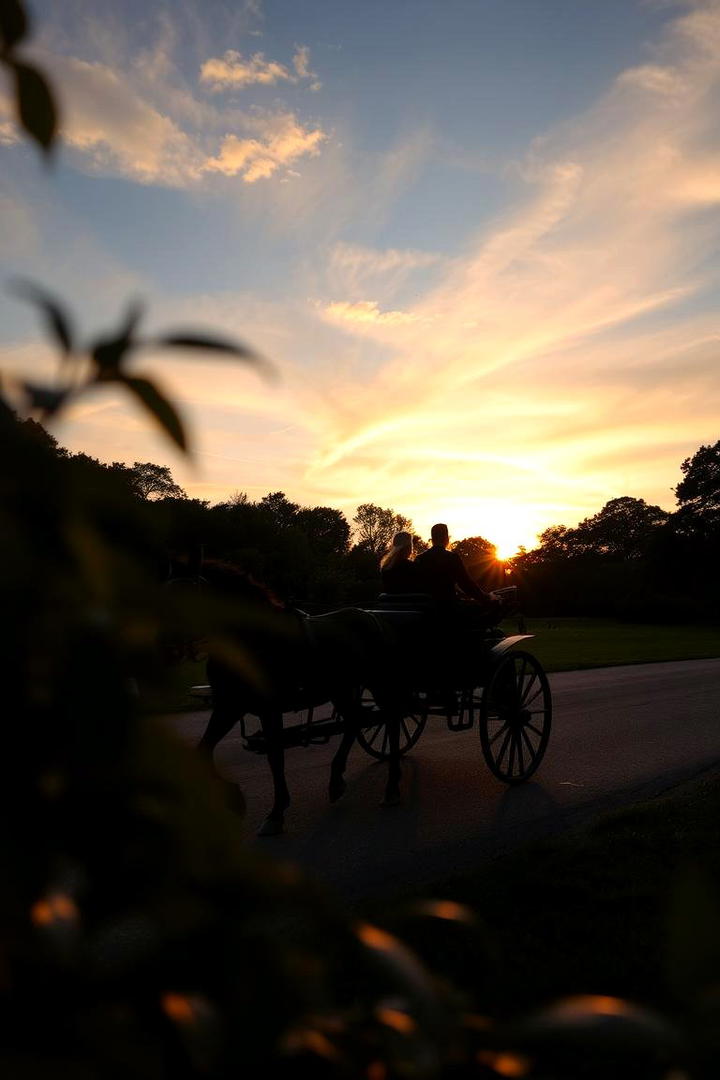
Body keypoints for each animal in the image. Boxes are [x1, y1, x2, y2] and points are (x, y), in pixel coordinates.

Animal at [167, 561, 405, 838]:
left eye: (185, 593)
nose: (166, 646)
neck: (253, 640)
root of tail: (374, 617)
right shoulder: (229, 706)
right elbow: (203, 751)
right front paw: (233, 797)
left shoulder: (268, 709)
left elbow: (275, 758)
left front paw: (275, 814)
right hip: (342, 689)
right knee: (356, 721)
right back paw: (336, 781)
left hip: (379, 684)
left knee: (391, 721)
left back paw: (391, 788)